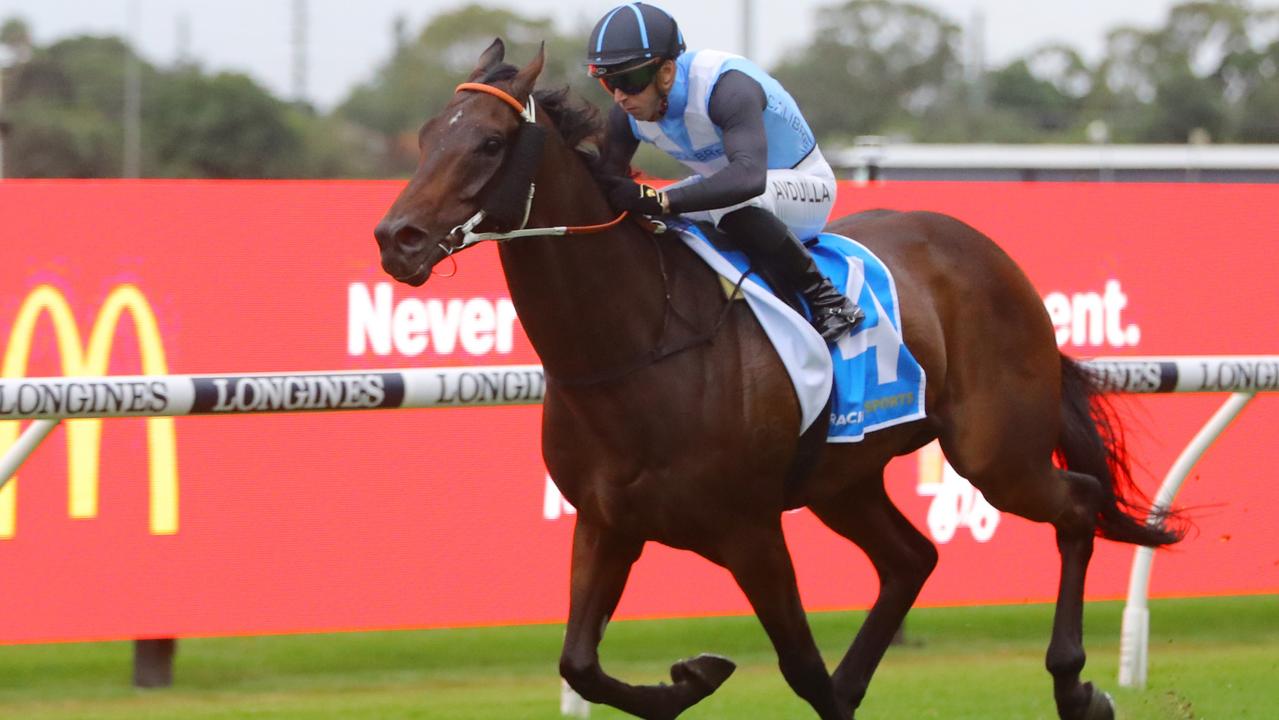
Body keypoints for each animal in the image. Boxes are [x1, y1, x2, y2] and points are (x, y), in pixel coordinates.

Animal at [373, 40, 1181, 720]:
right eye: (426, 136)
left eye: (488, 141)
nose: (395, 239)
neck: (639, 346)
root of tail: (985, 252)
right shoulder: (607, 523)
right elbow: (580, 664)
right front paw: (692, 676)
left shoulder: (750, 530)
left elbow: (800, 670)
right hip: (842, 478)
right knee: (911, 558)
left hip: (994, 454)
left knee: (1078, 503)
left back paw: (1075, 686)